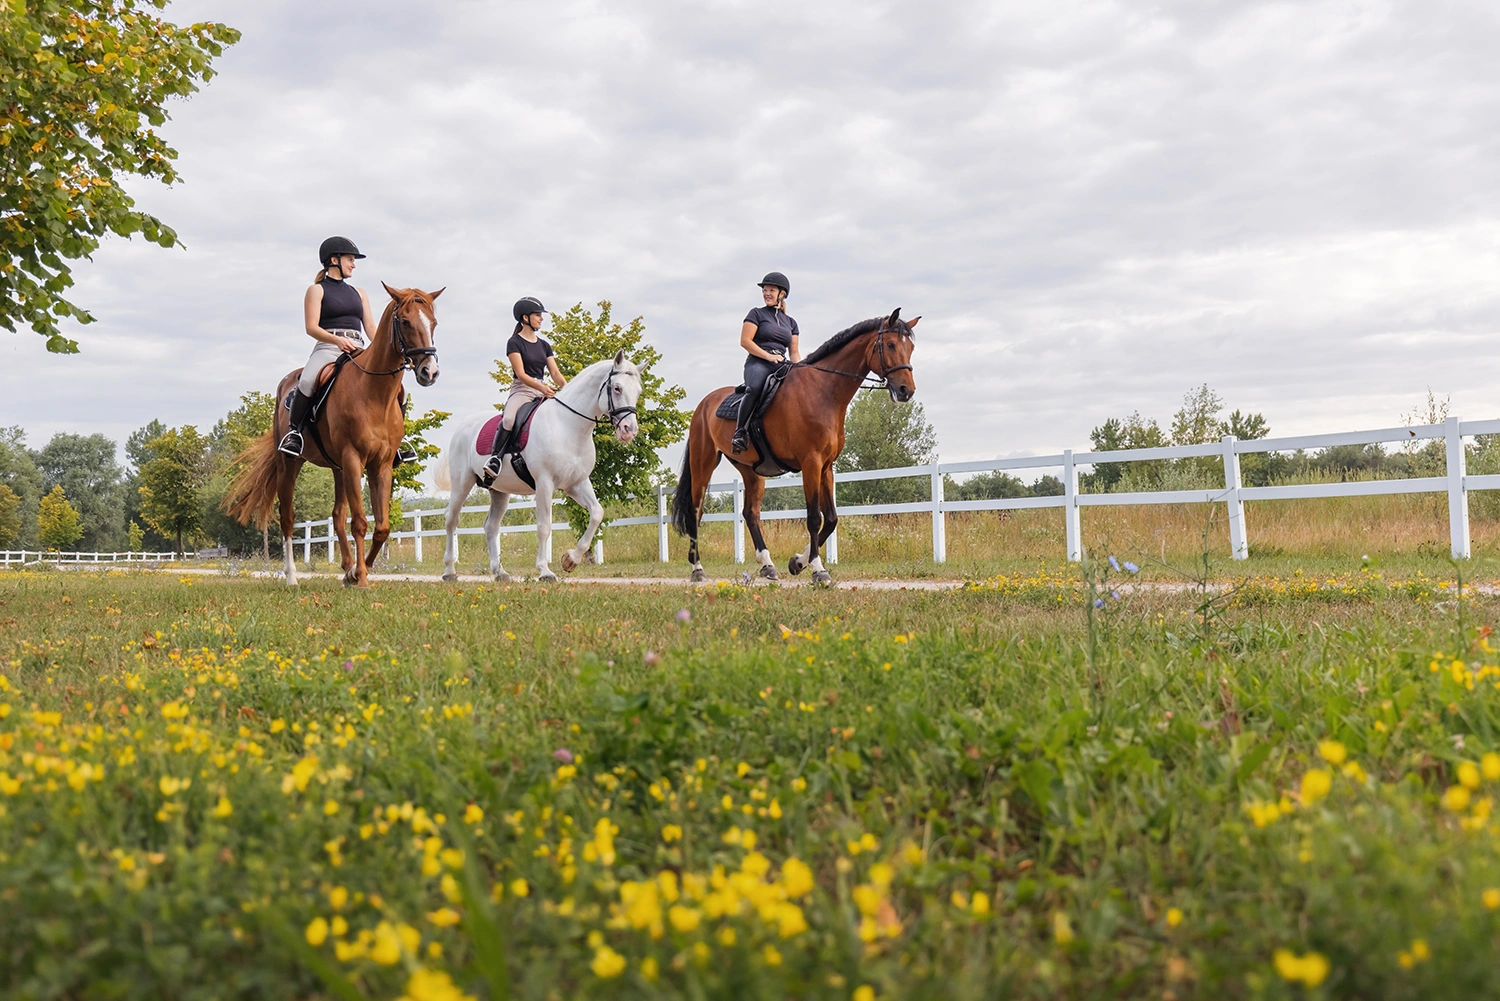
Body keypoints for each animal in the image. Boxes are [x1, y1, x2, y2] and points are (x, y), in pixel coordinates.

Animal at [224, 283, 442, 588]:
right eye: (406, 322)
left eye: (433, 323)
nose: (429, 372)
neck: (374, 392)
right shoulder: (353, 459)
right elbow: (360, 522)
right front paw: (361, 578)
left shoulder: (381, 464)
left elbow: (382, 527)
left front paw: (358, 572)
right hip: (290, 464)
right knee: (288, 518)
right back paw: (292, 577)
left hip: (338, 468)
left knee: (338, 516)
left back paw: (347, 569)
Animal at [430, 351, 642, 583]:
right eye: (617, 388)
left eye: (638, 392)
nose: (629, 430)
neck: (567, 425)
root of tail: (463, 425)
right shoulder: (544, 483)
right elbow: (544, 527)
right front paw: (545, 571)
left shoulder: (577, 483)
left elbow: (596, 513)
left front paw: (570, 560)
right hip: (462, 482)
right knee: (451, 520)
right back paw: (449, 571)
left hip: (499, 490)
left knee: (491, 526)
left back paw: (499, 572)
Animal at [672, 308, 918, 584]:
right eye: (891, 344)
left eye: (911, 347)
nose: (906, 390)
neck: (823, 391)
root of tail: (704, 404)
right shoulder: (811, 463)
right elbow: (814, 518)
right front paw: (818, 569)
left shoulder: (826, 467)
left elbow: (831, 519)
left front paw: (798, 562)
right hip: (703, 464)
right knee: (695, 512)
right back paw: (697, 569)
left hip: (751, 471)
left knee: (750, 513)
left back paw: (767, 565)